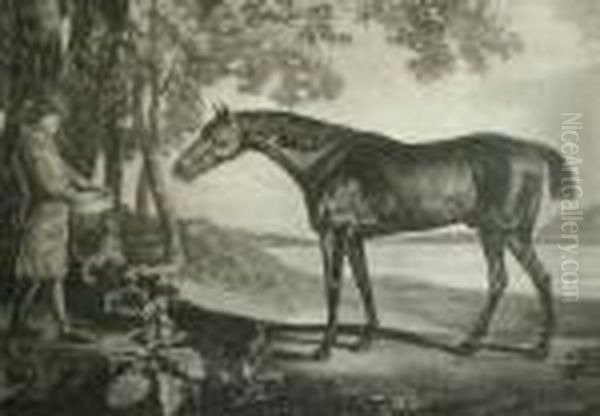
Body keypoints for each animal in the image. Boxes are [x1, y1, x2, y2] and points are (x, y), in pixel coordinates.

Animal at [171, 105, 576, 360]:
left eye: (215, 135)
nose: (179, 169)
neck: (326, 160)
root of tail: (532, 149)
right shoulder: (355, 237)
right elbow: (364, 283)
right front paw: (366, 339)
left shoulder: (334, 233)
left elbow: (334, 286)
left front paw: (324, 349)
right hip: (499, 234)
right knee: (517, 279)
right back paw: (500, 346)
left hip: (503, 232)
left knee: (523, 279)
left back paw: (517, 348)